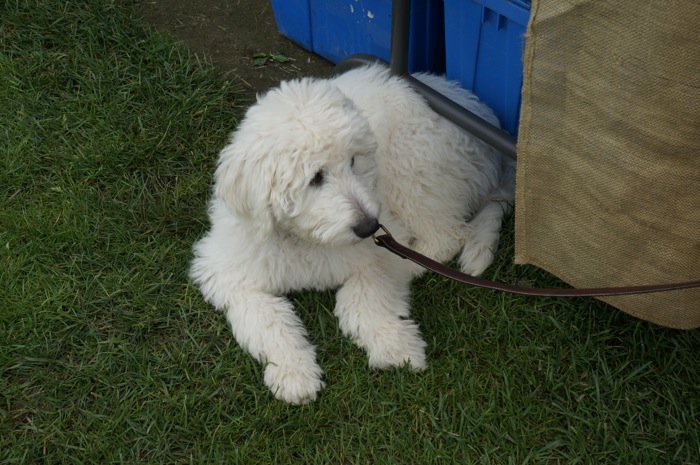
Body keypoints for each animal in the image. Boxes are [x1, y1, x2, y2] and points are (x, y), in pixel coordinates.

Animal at [190, 63, 516, 404]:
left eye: (353, 161)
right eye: (315, 177)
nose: (368, 227)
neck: (308, 239)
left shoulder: (381, 246)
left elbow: (363, 298)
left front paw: (394, 346)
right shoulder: (228, 271)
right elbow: (268, 320)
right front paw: (294, 374)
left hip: (416, 167)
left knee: (447, 235)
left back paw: (412, 266)